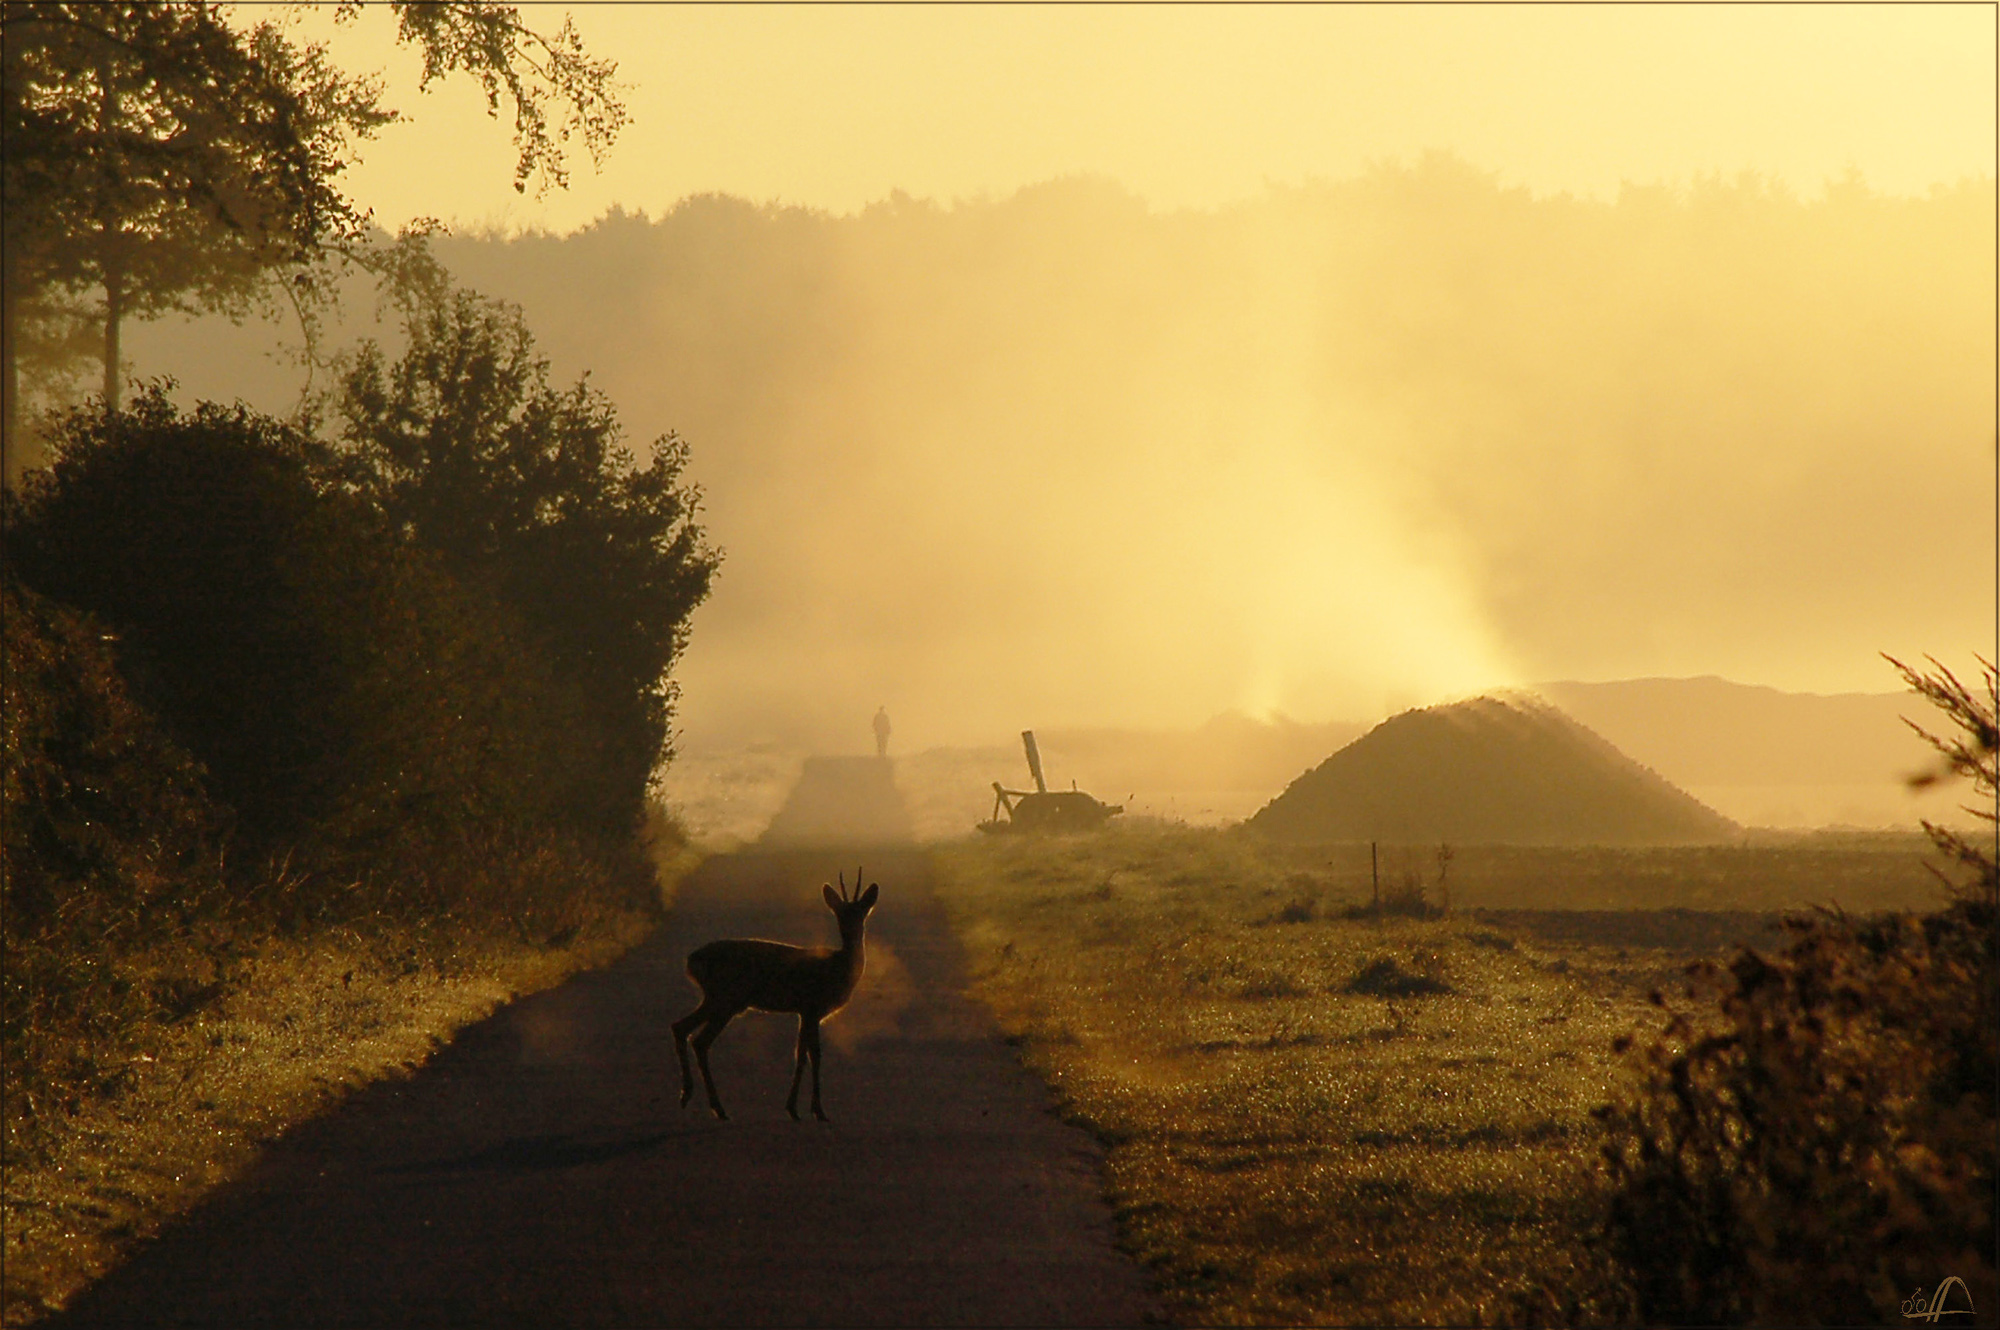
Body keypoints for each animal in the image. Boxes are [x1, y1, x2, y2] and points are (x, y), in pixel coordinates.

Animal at [672, 868, 876, 1112]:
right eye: (840, 914)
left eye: (861, 914)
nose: (850, 932)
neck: (838, 967)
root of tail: (691, 961)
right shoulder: (812, 1007)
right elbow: (813, 1055)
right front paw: (814, 1109)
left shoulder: (805, 1012)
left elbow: (803, 1053)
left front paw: (796, 1107)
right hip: (726, 999)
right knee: (699, 1040)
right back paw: (715, 1107)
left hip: (717, 999)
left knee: (681, 1028)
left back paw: (690, 1097)